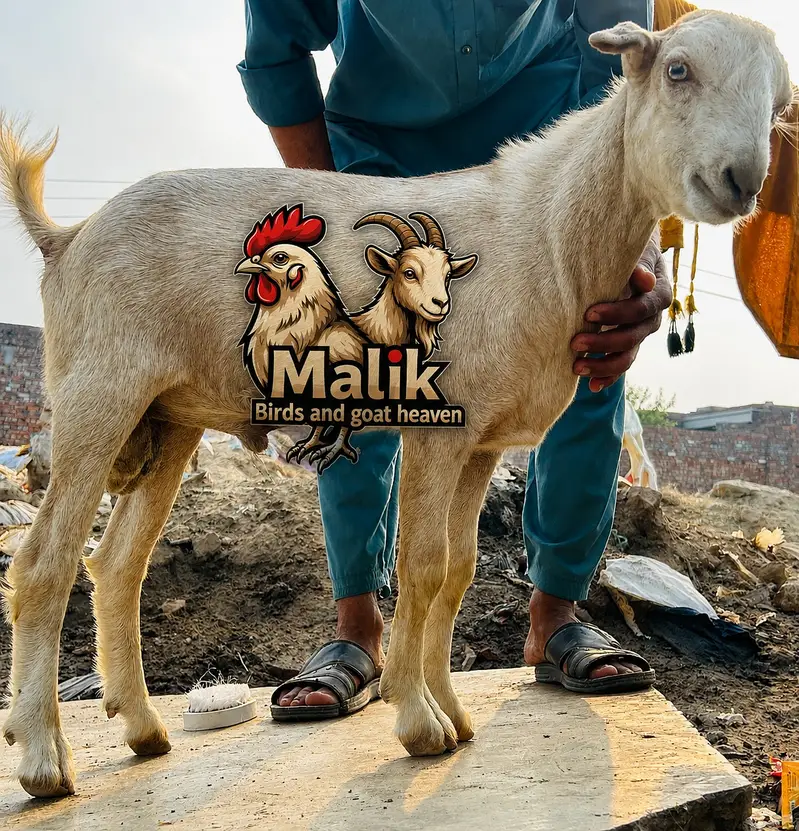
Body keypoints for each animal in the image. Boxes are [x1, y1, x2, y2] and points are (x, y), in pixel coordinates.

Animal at [0, 11, 791, 797]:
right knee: (43, 562)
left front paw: (450, 712)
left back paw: (142, 730)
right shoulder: (440, 430)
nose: (738, 180)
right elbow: (423, 565)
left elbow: (459, 571)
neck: (550, 234)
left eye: (780, 104)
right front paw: (418, 720)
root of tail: (66, 237)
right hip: (99, 390)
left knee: (117, 567)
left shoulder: (482, 441)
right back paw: (42, 756)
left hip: (166, 417)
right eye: (677, 70)